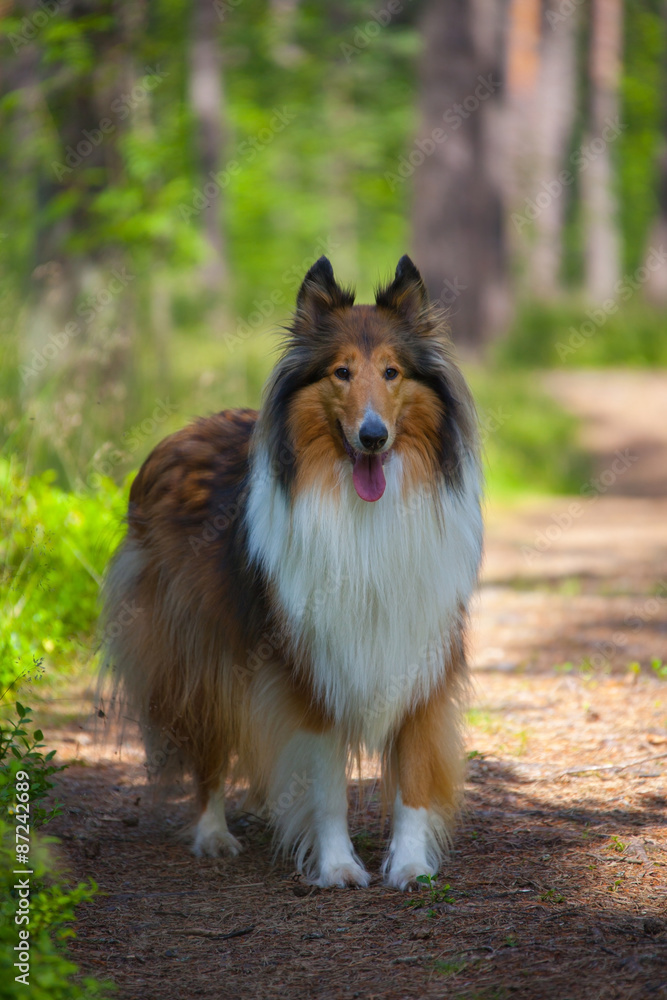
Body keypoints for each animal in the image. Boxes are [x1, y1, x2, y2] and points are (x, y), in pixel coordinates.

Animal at [102, 256, 482, 892]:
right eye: (341, 373)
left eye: (392, 372)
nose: (373, 436)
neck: (364, 513)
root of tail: (176, 437)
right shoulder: (309, 667)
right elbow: (325, 787)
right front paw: (337, 867)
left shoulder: (417, 651)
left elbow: (412, 779)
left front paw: (409, 866)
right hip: (201, 655)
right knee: (209, 754)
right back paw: (214, 834)